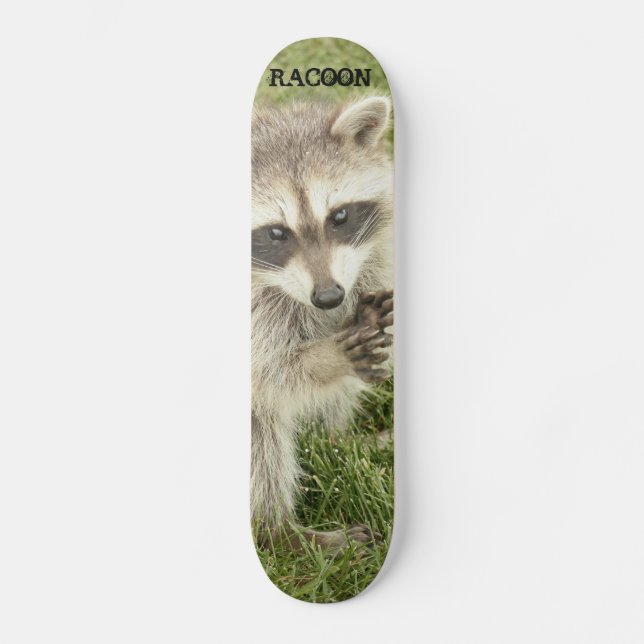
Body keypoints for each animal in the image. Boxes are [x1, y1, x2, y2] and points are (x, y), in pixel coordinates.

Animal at [251, 96, 394, 551]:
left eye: (341, 216)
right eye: (276, 232)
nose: (330, 296)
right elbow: (271, 372)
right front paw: (325, 358)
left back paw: (338, 439)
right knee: (261, 436)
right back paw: (279, 531)